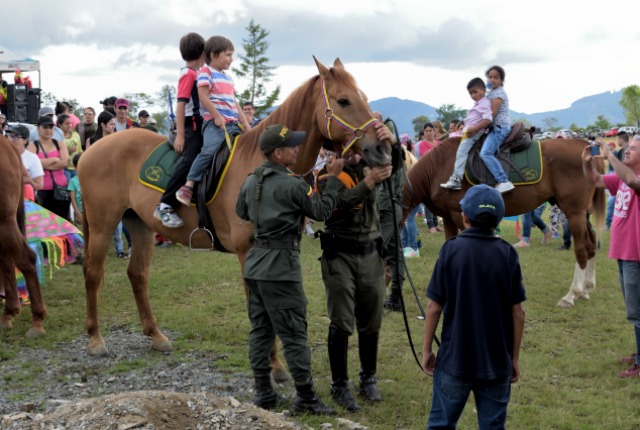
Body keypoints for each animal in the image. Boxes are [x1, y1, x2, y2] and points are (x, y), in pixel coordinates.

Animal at [77, 56, 392, 380]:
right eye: (343, 101)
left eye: (364, 98)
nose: (383, 148)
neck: (263, 165)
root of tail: (91, 150)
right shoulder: (249, 252)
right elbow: (261, 308)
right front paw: (275, 366)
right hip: (102, 224)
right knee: (93, 272)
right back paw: (95, 339)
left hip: (139, 225)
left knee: (137, 274)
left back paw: (156, 335)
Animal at [402, 137, 608, 306]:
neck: (439, 167)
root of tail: (586, 148)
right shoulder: (448, 218)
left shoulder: (459, 216)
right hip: (581, 214)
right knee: (591, 244)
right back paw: (587, 288)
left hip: (574, 213)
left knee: (581, 249)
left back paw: (572, 294)